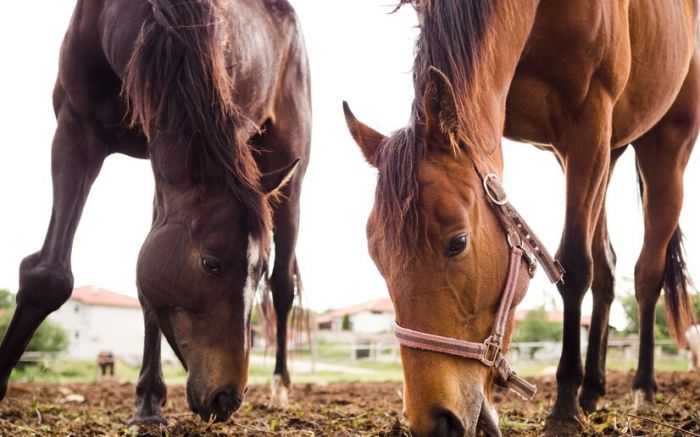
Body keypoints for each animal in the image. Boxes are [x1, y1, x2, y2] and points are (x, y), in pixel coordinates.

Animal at [0, 0, 308, 424]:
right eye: (211, 263)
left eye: (256, 271)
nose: (226, 398)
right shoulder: (76, 130)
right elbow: (49, 275)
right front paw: (148, 402)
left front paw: (150, 401)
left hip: (288, 182)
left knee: (283, 287)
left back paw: (280, 388)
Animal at [348, 0, 696, 434]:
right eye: (376, 257)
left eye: (458, 243)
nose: (435, 422)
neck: (539, 13)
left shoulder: (589, 120)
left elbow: (573, 268)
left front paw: (564, 406)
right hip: (605, 151)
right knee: (607, 268)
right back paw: (593, 390)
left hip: (664, 148)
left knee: (647, 274)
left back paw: (642, 387)